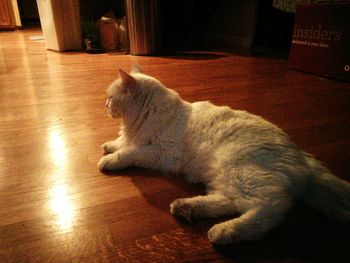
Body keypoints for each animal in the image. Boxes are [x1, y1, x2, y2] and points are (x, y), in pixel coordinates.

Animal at [98, 66, 350, 245]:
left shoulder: (162, 152)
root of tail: (302, 157)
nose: (105, 106)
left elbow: (130, 153)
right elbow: (121, 143)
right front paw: (108, 146)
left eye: (110, 98)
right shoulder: (137, 139)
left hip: (239, 171)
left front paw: (108, 160)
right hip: (225, 176)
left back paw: (222, 232)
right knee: (233, 202)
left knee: (271, 208)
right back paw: (186, 207)